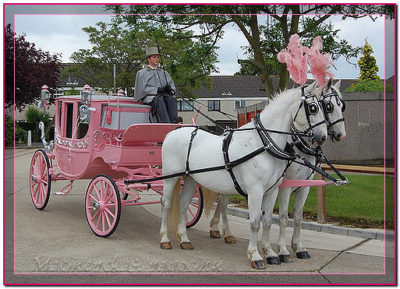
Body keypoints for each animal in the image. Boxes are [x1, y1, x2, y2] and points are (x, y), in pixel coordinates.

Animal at [159, 81, 328, 268]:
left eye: (323, 106)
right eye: (313, 108)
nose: (323, 136)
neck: (262, 143)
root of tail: (171, 133)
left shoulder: (272, 190)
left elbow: (267, 221)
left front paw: (270, 253)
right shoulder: (255, 190)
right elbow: (255, 221)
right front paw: (255, 256)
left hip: (190, 178)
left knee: (182, 204)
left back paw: (184, 239)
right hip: (170, 177)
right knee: (166, 204)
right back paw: (165, 239)